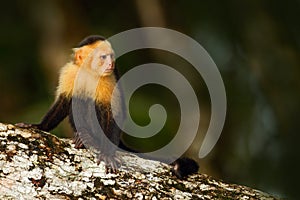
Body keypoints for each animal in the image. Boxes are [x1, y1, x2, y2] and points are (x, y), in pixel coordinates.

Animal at [17, 34, 199, 178]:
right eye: (104, 57)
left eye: (111, 57)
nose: (111, 63)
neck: (89, 72)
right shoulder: (70, 72)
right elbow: (64, 100)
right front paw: (39, 126)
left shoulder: (109, 79)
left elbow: (112, 112)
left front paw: (107, 153)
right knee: (79, 99)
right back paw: (83, 135)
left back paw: (91, 139)